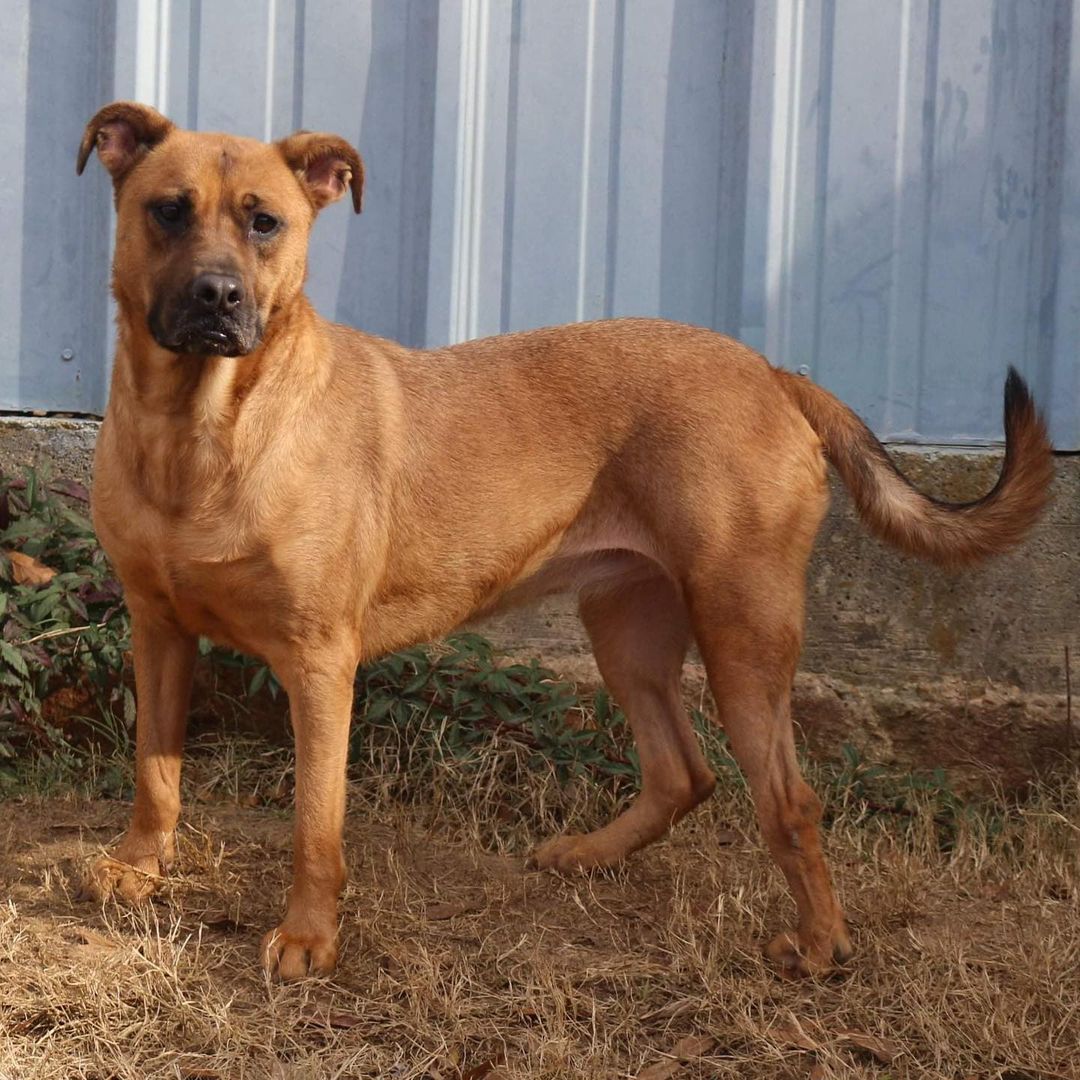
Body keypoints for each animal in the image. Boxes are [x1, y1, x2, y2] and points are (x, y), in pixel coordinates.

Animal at [78, 101, 1054, 980]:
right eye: (168, 210)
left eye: (265, 222)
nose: (217, 296)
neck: (202, 429)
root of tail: (775, 372)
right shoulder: (157, 629)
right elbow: (154, 770)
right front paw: (138, 867)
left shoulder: (319, 664)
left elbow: (315, 824)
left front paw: (309, 938)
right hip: (628, 626)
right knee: (683, 773)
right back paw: (589, 856)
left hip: (742, 632)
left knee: (790, 801)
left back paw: (818, 944)